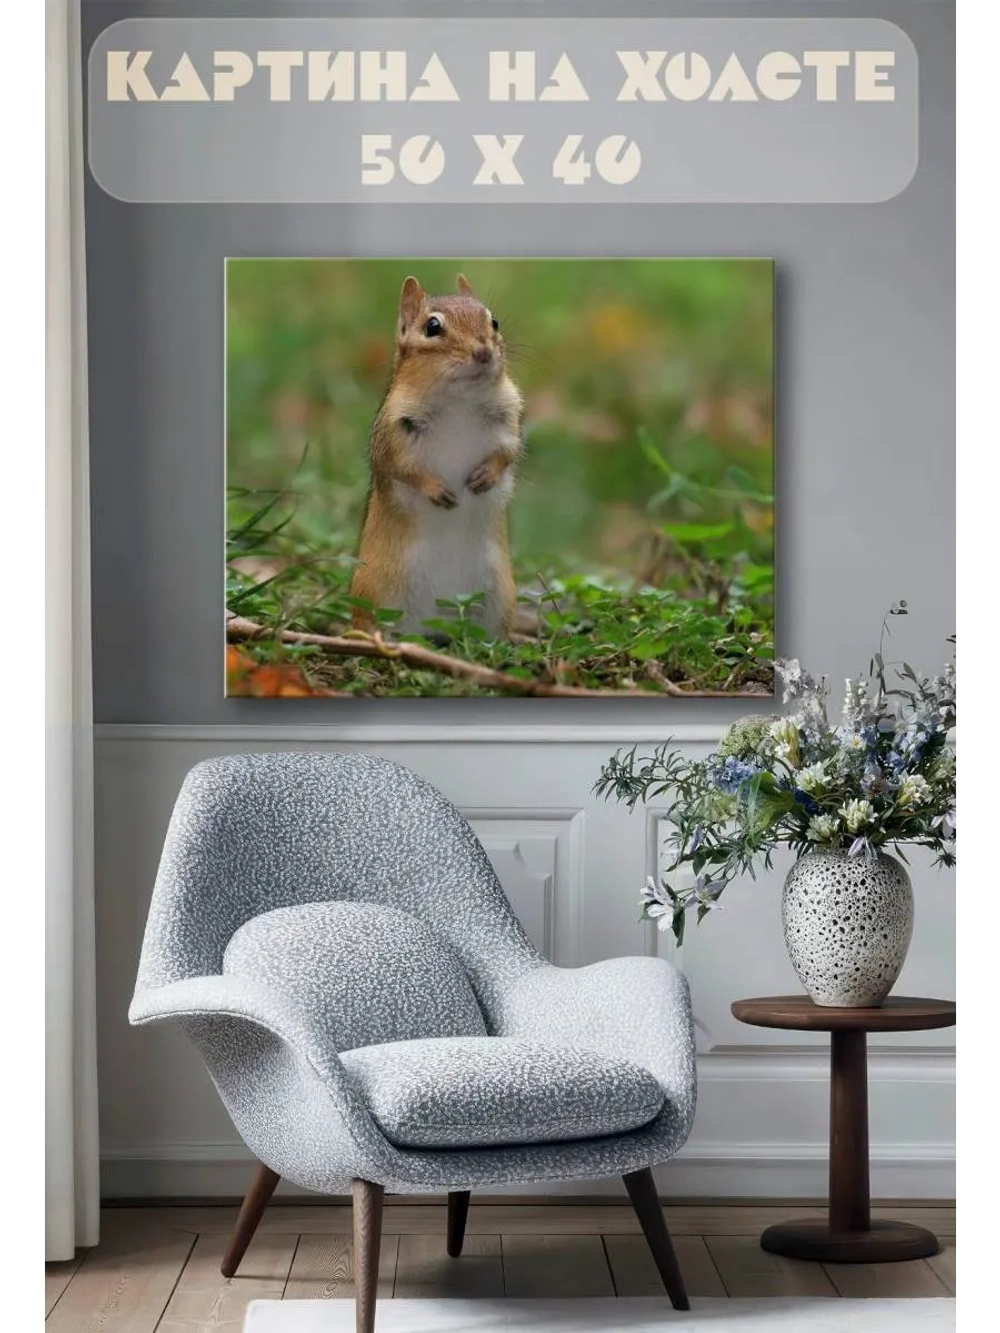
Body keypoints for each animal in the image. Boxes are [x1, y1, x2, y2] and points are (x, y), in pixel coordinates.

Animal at [349, 274, 524, 639]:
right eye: (432, 327)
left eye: (494, 321)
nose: (483, 352)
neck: (459, 401)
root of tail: (433, 624)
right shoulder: (390, 436)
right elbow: (401, 468)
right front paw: (435, 489)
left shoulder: (509, 422)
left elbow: (507, 453)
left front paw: (485, 475)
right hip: (371, 591)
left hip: (501, 597)